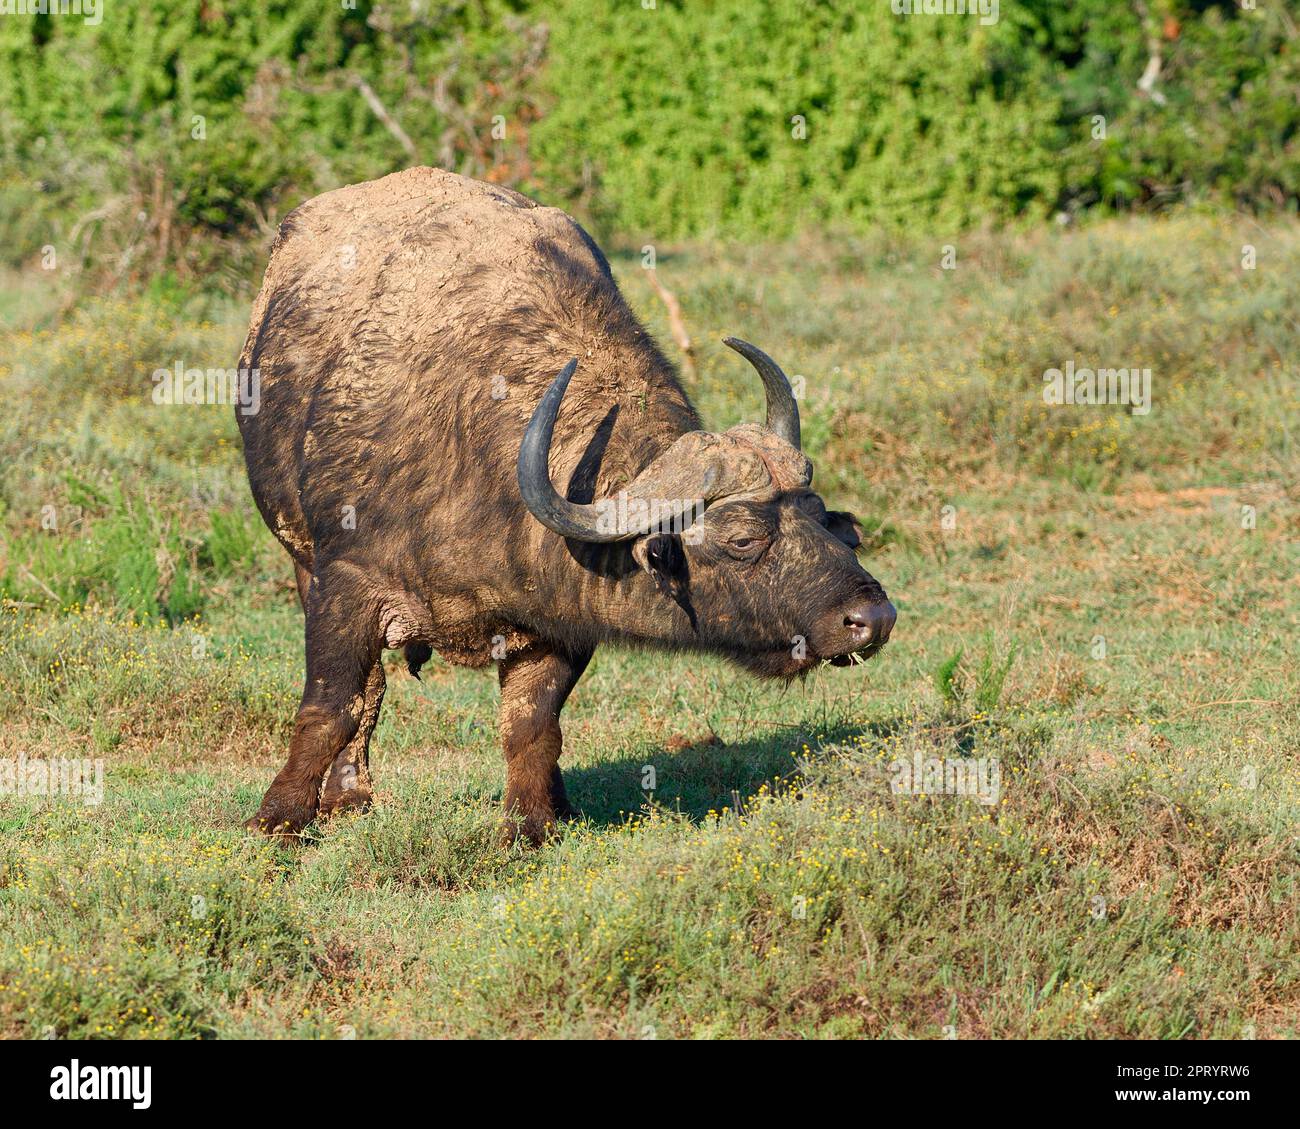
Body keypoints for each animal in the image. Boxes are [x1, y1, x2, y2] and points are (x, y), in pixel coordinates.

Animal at [236, 163, 894, 842]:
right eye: (742, 539)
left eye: (824, 521)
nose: (872, 618)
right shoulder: (345, 586)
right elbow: (333, 706)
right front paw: (278, 817)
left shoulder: (558, 623)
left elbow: (532, 725)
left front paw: (532, 823)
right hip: (301, 559)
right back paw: (349, 793)